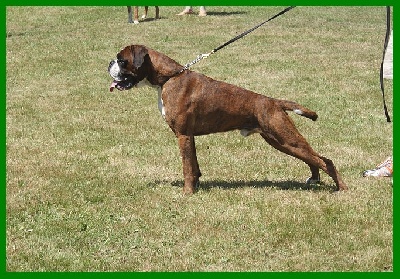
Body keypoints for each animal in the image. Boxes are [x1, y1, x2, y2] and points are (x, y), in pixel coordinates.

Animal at [108, 46, 348, 195]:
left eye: (121, 60)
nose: (109, 62)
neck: (169, 77)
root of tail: (273, 101)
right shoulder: (190, 137)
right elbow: (194, 165)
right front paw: (196, 185)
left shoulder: (183, 135)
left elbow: (187, 167)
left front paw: (187, 193)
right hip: (280, 141)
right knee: (314, 158)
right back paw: (315, 179)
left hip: (285, 138)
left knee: (325, 160)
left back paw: (342, 189)